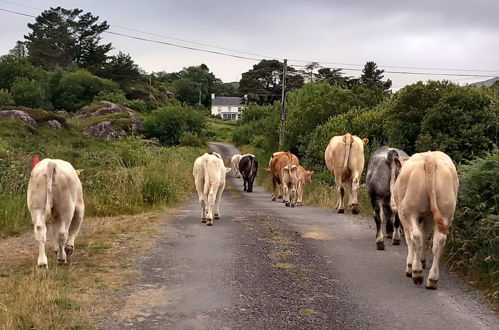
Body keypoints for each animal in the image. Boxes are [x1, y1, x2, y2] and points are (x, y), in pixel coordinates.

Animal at [392, 151, 458, 288]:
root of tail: (430, 157)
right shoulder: (428, 218)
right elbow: (425, 235)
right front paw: (422, 260)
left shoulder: (403, 215)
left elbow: (410, 239)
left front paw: (410, 265)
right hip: (445, 212)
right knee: (438, 242)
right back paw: (432, 279)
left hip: (411, 212)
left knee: (415, 236)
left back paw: (416, 272)